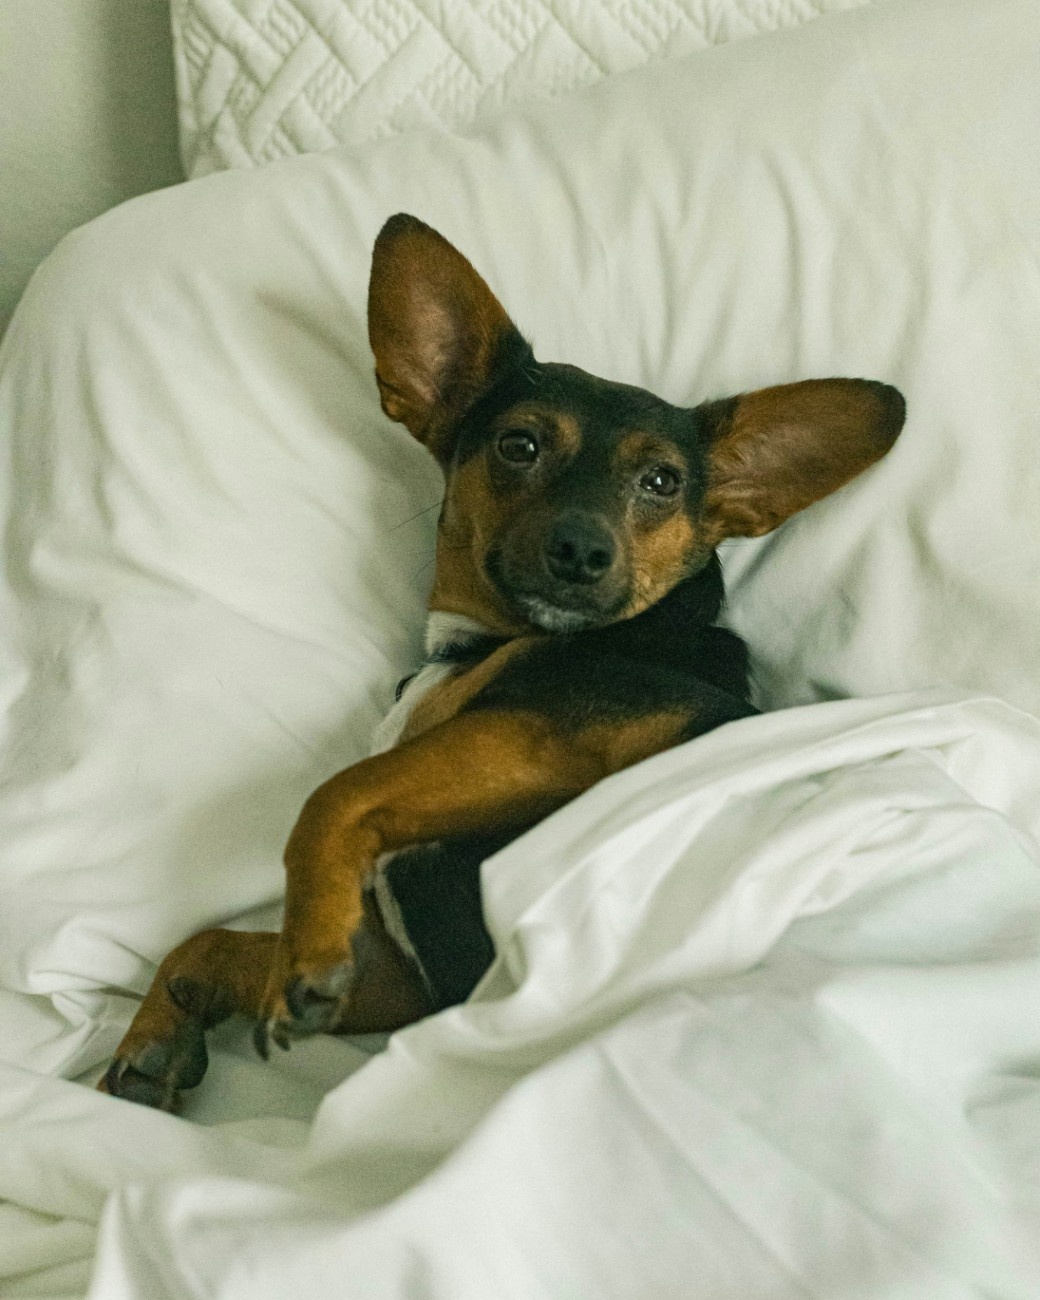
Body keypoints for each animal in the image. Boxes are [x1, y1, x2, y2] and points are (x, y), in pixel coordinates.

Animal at [101, 213, 904, 1107]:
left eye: (663, 481)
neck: (481, 645)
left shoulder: (552, 735)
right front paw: (162, 1029)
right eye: (518, 446)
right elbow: (210, 941)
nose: (582, 553)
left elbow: (336, 794)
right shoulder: (402, 986)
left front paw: (303, 943)